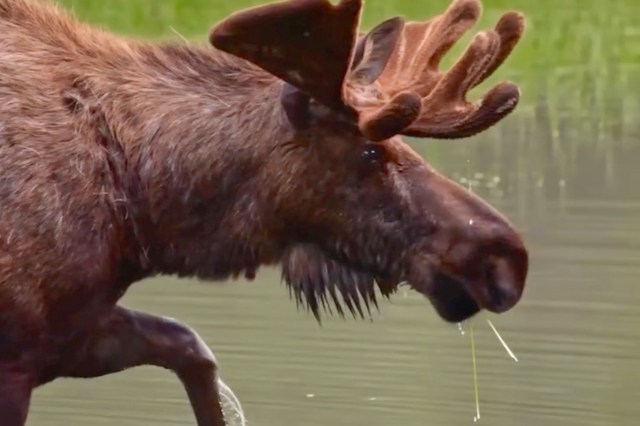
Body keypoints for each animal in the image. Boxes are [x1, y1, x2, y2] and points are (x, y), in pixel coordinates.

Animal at [0, 0, 528, 424]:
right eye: (371, 152)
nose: (506, 257)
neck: (141, 210)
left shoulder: (73, 331)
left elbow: (193, 350)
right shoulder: (19, 355)